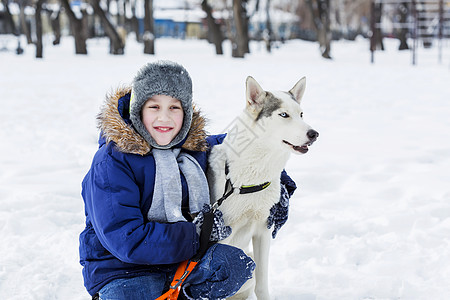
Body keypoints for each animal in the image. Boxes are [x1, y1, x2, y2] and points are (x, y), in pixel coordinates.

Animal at [208, 76, 318, 298]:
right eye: (283, 114)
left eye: (301, 114)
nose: (314, 133)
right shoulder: (221, 236)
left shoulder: (263, 230)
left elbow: (262, 283)